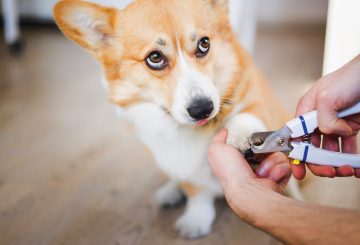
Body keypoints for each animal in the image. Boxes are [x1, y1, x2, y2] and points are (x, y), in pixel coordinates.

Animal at [53, 0, 300, 238]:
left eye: (204, 44)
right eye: (154, 57)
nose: (203, 109)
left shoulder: (259, 101)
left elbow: (247, 113)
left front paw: (242, 133)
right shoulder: (178, 161)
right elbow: (196, 192)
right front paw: (196, 219)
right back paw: (170, 191)